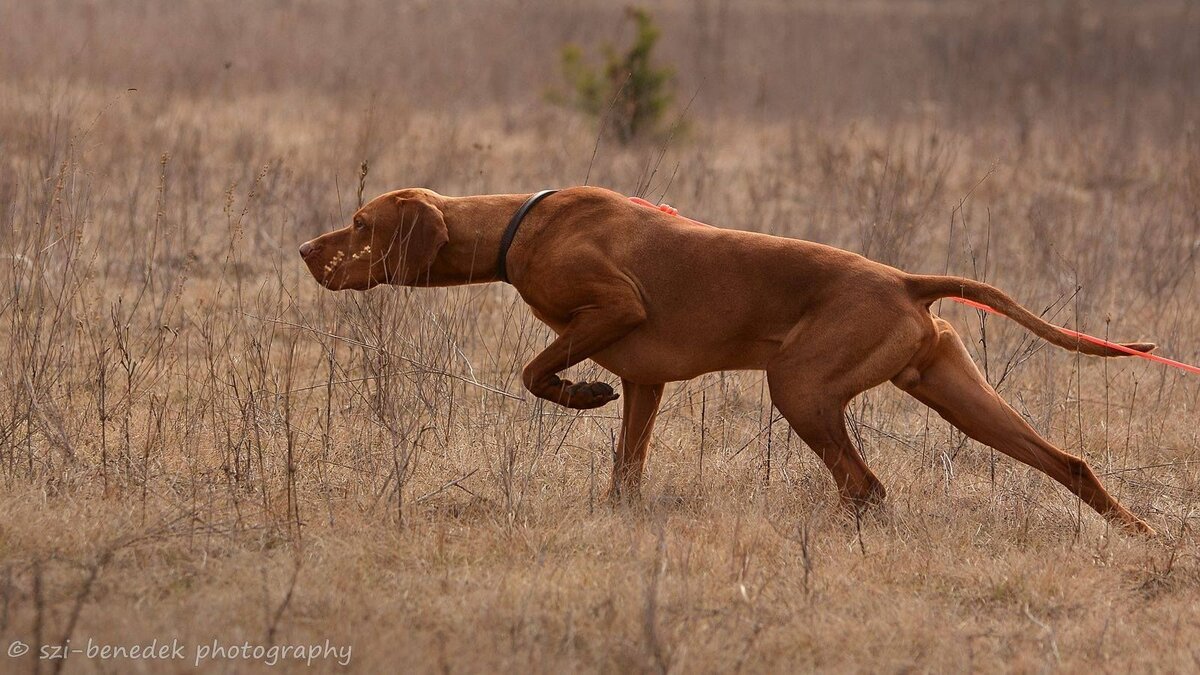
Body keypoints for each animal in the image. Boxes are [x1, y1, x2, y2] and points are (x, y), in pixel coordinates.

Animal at [297, 184, 1152, 530]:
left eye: (360, 222)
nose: (305, 250)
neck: (517, 228)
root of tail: (904, 279)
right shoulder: (646, 378)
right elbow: (626, 466)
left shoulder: (615, 308)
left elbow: (535, 372)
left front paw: (580, 394)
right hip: (954, 390)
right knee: (1068, 461)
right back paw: (1137, 534)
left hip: (799, 387)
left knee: (866, 485)